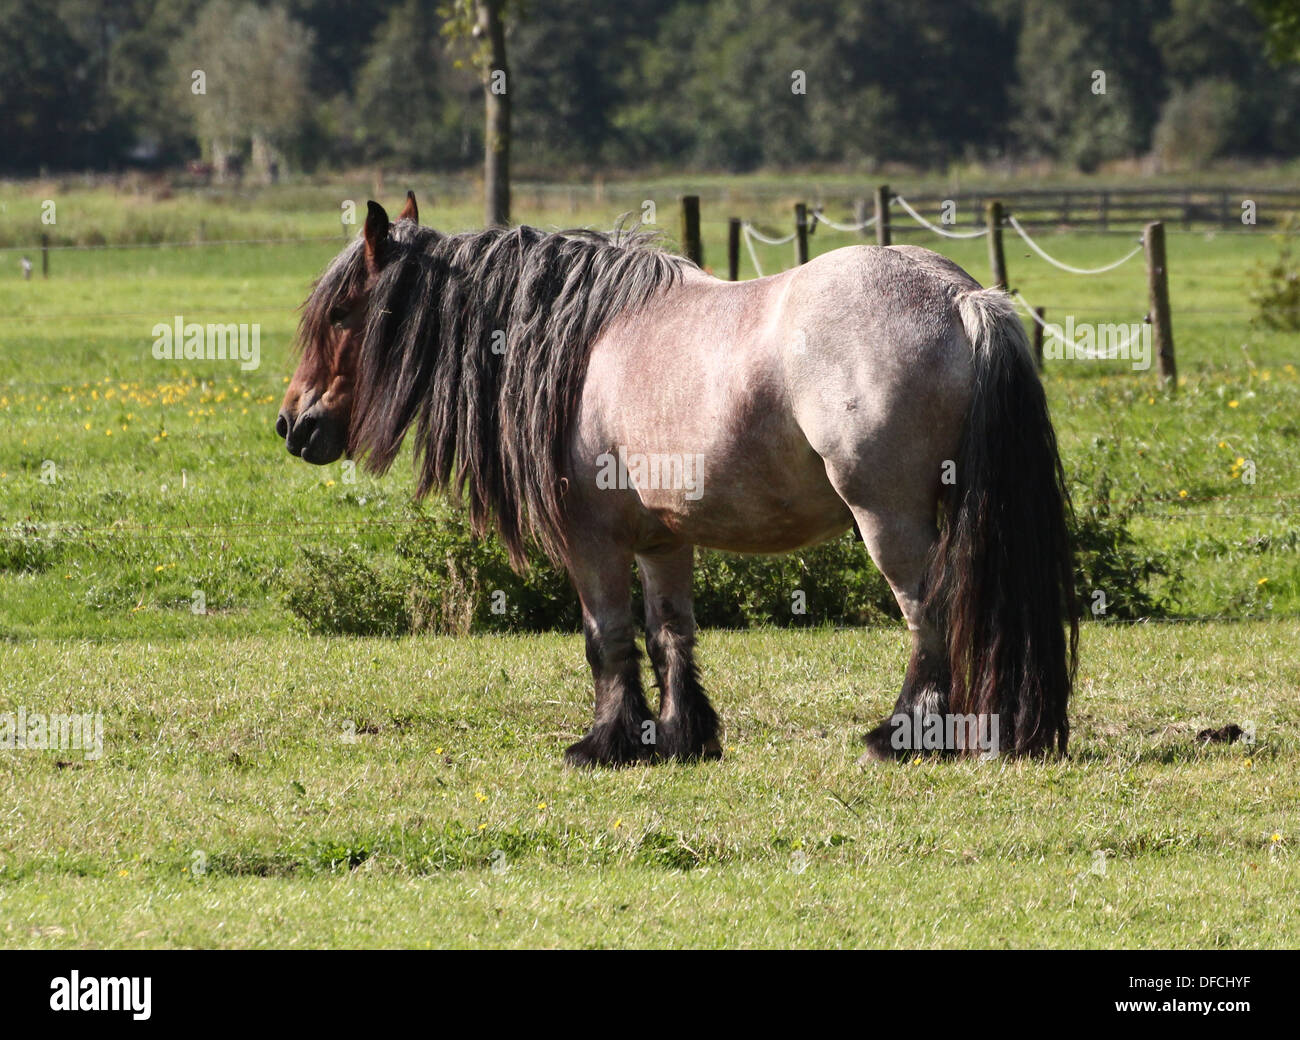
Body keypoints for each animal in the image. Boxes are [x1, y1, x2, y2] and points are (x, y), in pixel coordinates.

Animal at [278, 192, 1079, 767]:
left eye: (342, 312)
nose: (292, 424)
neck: (579, 345)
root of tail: (959, 298)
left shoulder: (592, 539)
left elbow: (606, 636)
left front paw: (604, 743)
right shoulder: (662, 539)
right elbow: (670, 633)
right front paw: (681, 736)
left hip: (891, 520)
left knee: (927, 613)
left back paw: (900, 735)